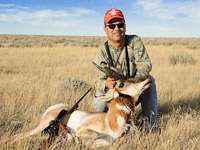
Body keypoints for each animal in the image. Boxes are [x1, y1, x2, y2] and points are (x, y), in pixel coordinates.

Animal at [8, 62, 151, 144]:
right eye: (121, 84)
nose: (146, 78)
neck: (110, 121)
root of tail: (54, 108)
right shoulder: (85, 130)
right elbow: (92, 135)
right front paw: (75, 139)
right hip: (40, 127)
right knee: (20, 135)